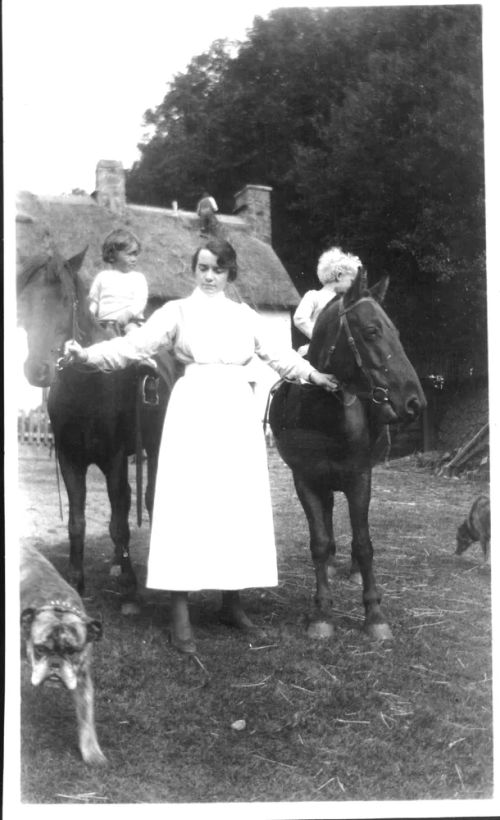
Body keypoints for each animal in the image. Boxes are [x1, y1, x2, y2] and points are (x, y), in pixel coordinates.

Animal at [17, 248, 178, 608]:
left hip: (155, 448)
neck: (88, 386)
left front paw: (130, 587)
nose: (38, 370)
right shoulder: (70, 459)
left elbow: (119, 521)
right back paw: (118, 560)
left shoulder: (114, 459)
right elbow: (77, 522)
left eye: (66, 300)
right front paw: (76, 580)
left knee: (147, 498)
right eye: (23, 300)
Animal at [20, 540, 106, 764]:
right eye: (40, 649)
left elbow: (86, 718)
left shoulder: (82, 678)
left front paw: (92, 753)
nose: (55, 664)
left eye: (72, 652)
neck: (57, 608)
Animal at [270, 270, 426, 640]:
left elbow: (364, 543)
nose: (415, 402)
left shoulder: (359, 478)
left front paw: (375, 614)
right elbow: (319, 541)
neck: (323, 414)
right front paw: (322, 612)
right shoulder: (306, 480)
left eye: (397, 331)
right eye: (371, 331)